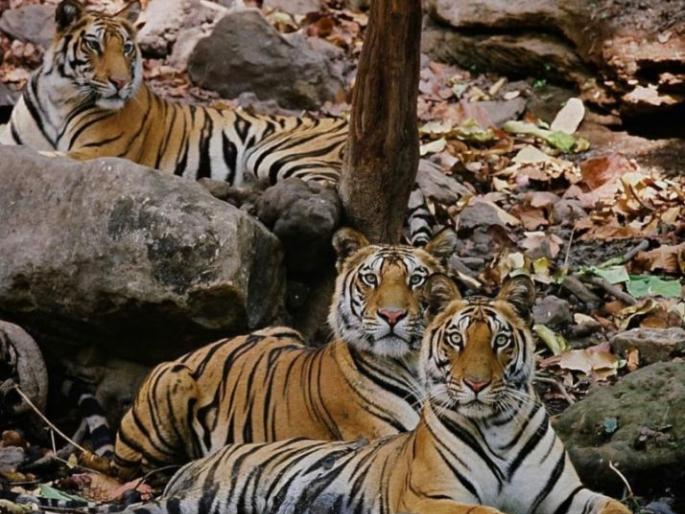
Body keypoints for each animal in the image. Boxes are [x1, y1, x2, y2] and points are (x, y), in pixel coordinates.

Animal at [0, 0, 433, 245]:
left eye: (127, 48)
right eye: (93, 45)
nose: (121, 82)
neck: (61, 96)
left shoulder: (94, 153)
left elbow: (49, 159)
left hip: (273, 150)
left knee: (324, 194)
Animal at [112, 227, 458, 480]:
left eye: (416, 279)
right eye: (370, 278)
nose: (392, 315)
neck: (413, 364)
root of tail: (194, 351)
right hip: (170, 385)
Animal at [115, 275, 631, 514]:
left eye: (500, 341)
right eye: (456, 340)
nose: (477, 384)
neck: (497, 427)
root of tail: (197, 463)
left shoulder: (564, 496)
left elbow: (616, 505)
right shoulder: (429, 499)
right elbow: (488, 512)